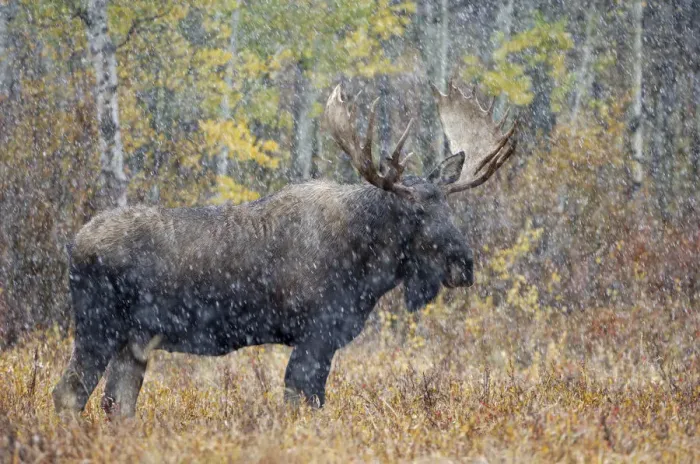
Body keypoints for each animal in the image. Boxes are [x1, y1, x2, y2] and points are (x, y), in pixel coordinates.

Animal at [52, 81, 517, 418]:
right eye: (414, 211)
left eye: (446, 205)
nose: (464, 265)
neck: (369, 272)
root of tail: (73, 244)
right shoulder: (315, 334)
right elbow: (302, 403)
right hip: (97, 327)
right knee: (69, 393)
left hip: (133, 339)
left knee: (116, 403)